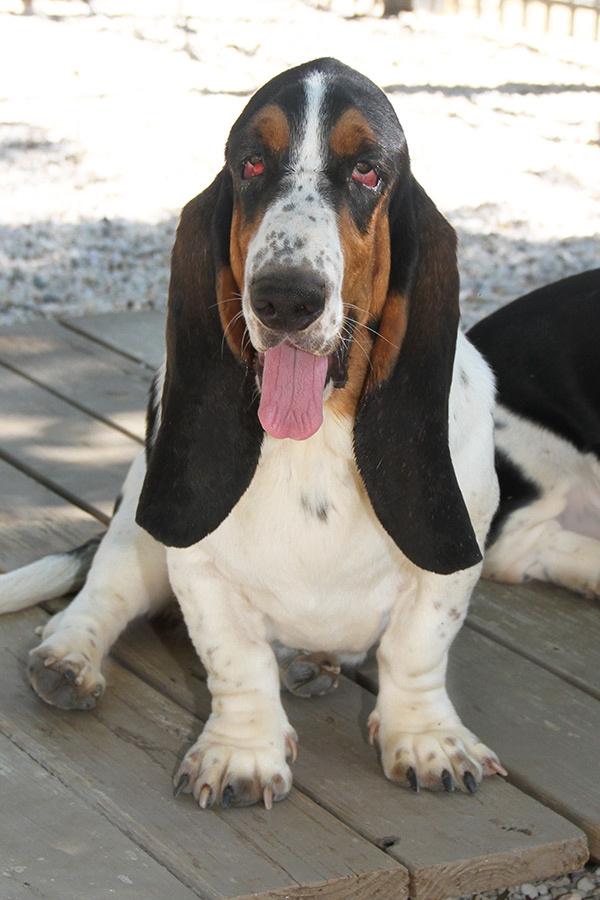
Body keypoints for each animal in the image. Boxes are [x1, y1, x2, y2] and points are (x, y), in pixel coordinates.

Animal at [0, 59, 506, 812]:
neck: (317, 439)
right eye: (251, 163)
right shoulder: (198, 567)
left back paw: (313, 663)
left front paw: (425, 739)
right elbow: (234, 659)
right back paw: (67, 658)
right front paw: (242, 753)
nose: (285, 298)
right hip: (139, 523)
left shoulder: (450, 567)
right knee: (104, 589)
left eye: (367, 170)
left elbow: (417, 648)